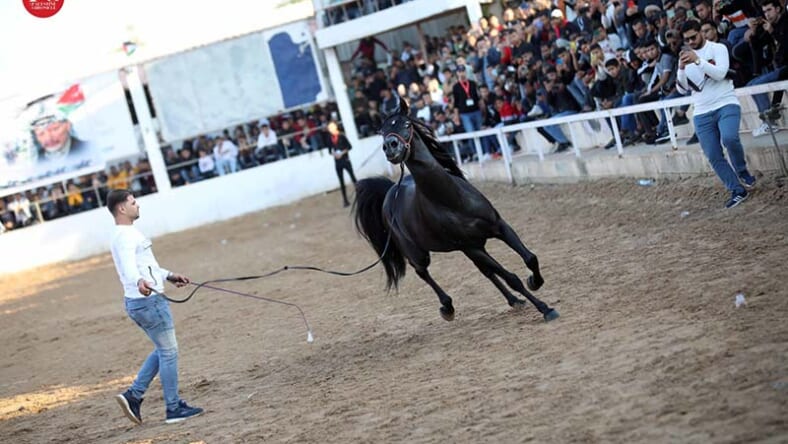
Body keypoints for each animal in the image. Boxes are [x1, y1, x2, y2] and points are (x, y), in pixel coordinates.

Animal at [353, 95, 559, 322]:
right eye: (381, 131)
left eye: (406, 124)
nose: (391, 146)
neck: (454, 200)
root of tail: (390, 192)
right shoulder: (471, 246)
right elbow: (512, 277)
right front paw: (545, 308)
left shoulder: (498, 227)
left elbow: (530, 258)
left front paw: (535, 282)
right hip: (419, 253)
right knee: (423, 272)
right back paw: (447, 307)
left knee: (486, 272)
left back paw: (514, 301)